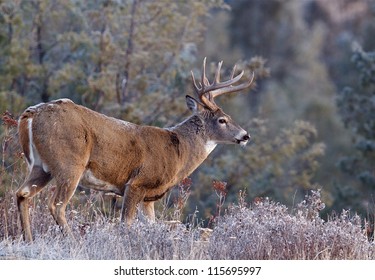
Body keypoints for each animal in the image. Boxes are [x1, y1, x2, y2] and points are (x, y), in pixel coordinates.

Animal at [16, 58, 254, 241]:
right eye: (222, 120)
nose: (245, 135)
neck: (179, 152)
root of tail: (31, 114)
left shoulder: (149, 198)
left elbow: (151, 225)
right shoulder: (136, 183)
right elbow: (125, 224)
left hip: (41, 166)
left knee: (22, 194)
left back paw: (28, 240)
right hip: (70, 163)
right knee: (56, 205)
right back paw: (74, 244)